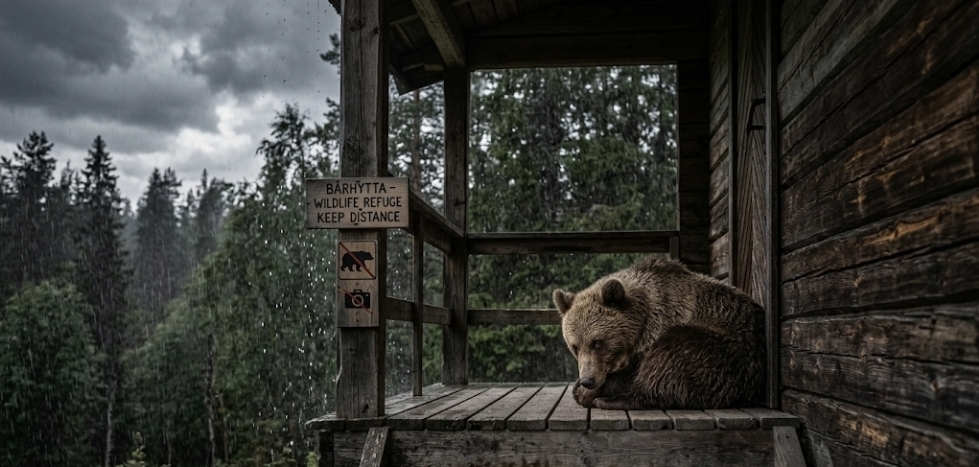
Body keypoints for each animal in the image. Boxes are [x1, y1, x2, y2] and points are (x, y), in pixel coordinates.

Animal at [552, 256, 765, 410]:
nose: (587, 380)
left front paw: (587, 393)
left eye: (597, 342)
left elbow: (636, 373)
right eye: (575, 346)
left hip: (727, 351)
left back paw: (611, 401)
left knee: (669, 359)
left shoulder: (661, 325)